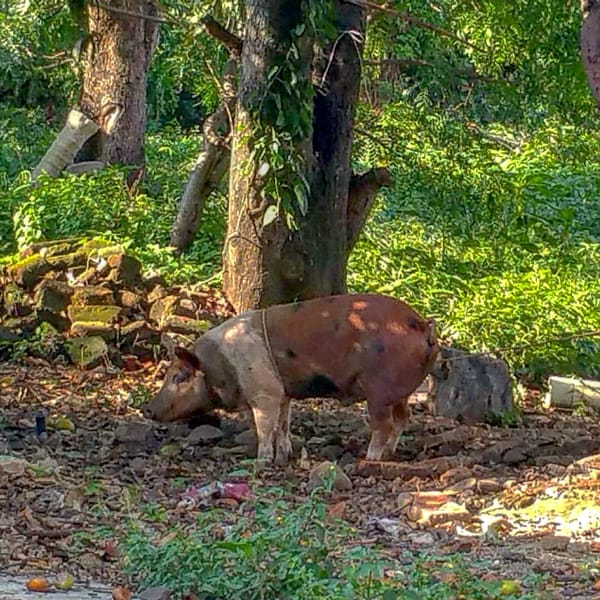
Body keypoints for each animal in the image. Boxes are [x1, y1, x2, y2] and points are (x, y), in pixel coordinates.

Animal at [143, 294, 438, 464]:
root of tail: (422, 326)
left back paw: (370, 458)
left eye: (179, 377)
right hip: (400, 393)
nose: (146, 409)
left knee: (384, 424)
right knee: (404, 417)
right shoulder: (283, 394)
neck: (221, 366)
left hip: (378, 391)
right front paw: (285, 456)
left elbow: (264, 427)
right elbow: (282, 425)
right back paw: (388, 453)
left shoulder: (265, 393)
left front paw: (262, 461)